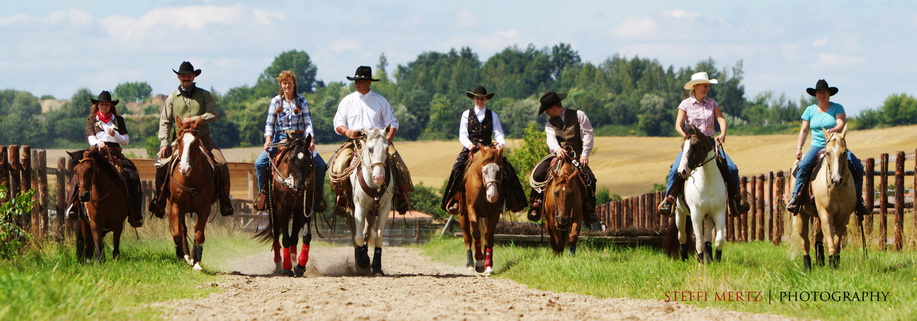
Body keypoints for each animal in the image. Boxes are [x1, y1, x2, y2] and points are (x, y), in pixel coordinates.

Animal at [166, 116, 216, 268]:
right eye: (179, 140)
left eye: (195, 142)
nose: (184, 168)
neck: (191, 179)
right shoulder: (176, 207)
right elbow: (177, 233)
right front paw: (181, 256)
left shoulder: (204, 209)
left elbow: (199, 234)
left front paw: (197, 263)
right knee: (183, 230)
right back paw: (187, 256)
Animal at [254, 134, 318, 276]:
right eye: (289, 159)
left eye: (308, 160)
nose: (300, 186)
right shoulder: (281, 211)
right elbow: (285, 239)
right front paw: (287, 268)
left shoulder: (304, 209)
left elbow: (306, 236)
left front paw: (299, 266)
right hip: (273, 212)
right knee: (276, 235)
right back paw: (279, 264)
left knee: (294, 237)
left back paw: (295, 262)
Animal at [346, 125, 392, 276]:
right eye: (370, 149)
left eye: (387, 148)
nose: (379, 177)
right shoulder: (359, 207)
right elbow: (358, 237)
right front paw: (363, 260)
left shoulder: (385, 208)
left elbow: (378, 237)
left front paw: (377, 267)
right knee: (356, 234)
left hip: (371, 212)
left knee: (366, 232)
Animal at [668, 126, 728, 262]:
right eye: (682, 146)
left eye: (695, 146)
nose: (682, 171)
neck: (707, 181)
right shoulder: (696, 214)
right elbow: (699, 241)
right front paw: (700, 261)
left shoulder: (719, 212)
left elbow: (719, 240)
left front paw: (716, 260)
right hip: (680, 214)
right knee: (682, 236)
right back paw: (684, 258)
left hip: (708, 217)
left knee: (707, 239)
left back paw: (709, 259)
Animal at [796, 127, 860, 268]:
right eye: (828, 153)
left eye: (844, 152)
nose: (836, 179)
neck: (837, 189)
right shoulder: (826, 214)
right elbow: (830, 239)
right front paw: (831, 263)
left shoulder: (844, 217)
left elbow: (837, 241)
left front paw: (834, 262)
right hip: (801, 215)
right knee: (805, 242)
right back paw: (807, 266)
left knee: (818, 239)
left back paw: (820, 261)